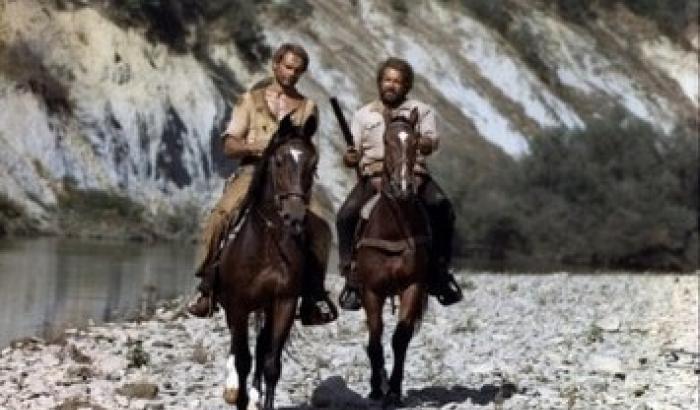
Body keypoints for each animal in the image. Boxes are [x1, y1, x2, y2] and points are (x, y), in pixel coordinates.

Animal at [217, 114, 318, 410]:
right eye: (280, 161)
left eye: (313, 164)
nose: (295, 217)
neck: (267, 247)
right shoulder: (238, 304)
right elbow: (242, 360)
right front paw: (238, 395)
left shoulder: (283, 303)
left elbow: (271, 363)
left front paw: (260, 399)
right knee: (237, 346)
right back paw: (232, 388)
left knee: (262, 349)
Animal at [356, 106, 432, 406]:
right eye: (386, 142)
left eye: (415, 142)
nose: (403, 188)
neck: (392, 230)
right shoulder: (370, 290)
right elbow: (375, 338)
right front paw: (378, 389)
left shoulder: (412, 286)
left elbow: (400, 338)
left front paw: (395, 392)